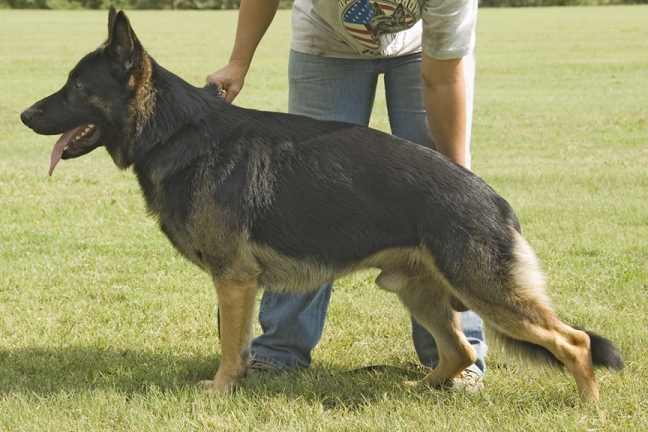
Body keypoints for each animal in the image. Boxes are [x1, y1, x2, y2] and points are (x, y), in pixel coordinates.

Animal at [21, 8, 624, 404]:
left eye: (76, 86)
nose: (24, 115)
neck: (174, 133)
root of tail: (494, 199)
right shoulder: (235, 281)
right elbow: (232, 340)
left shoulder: (234, 279)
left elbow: (230, 345)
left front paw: (220, 390)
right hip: (416, 290)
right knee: (457, 353)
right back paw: (417, 390)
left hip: (484, 291)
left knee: (572, 341)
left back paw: (588, 407)